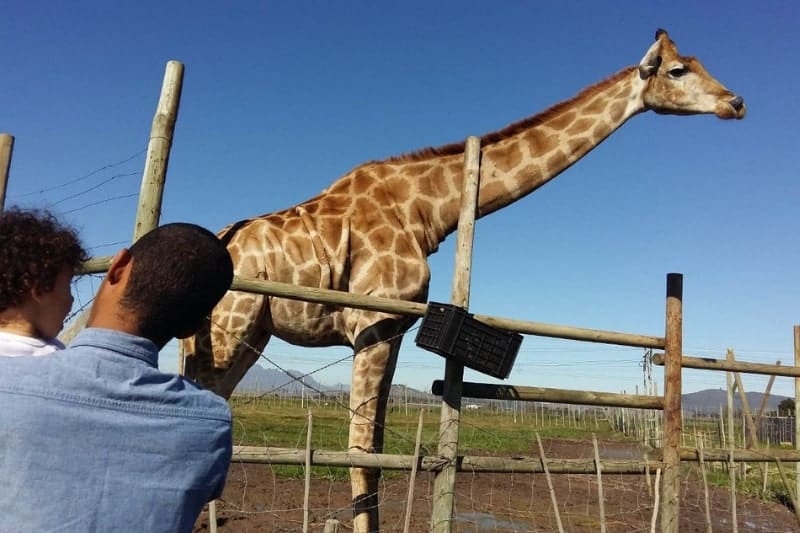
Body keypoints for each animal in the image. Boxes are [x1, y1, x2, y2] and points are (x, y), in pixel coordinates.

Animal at [180, 29, 744, 532]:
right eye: (678, 70)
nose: (736, 102)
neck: (433, 211)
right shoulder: (373, 323)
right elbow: (362, 453)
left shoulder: (393, 330)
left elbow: (376, 449)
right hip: (230, 327)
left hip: (247, 334)